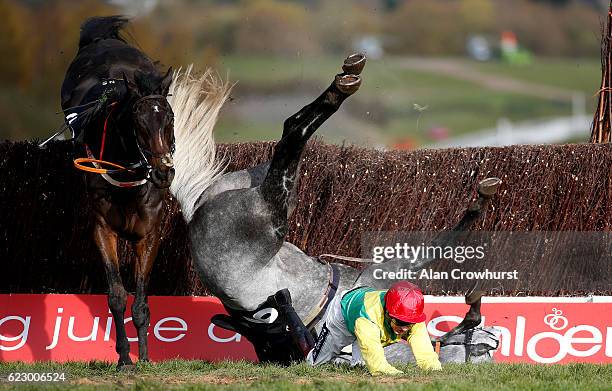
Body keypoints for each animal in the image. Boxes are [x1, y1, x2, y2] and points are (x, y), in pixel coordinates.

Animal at [61, 16, 175, 370]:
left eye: (170, 118)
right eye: (137, 121)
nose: (164, 172)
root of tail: (104, 40)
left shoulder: (149, 233)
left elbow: (140, 301)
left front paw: (147, 356)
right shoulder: (102, 228)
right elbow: (117, 295)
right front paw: (125, 356)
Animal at [169, 52, 502, 364]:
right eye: (482, 355)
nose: (495, 338)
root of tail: (194, 212)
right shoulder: (386, 271)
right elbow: (437, 247)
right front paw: (477, 206)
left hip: (266, 190)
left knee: (289, 133)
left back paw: (344, 80)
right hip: (272, 211)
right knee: (293, 136)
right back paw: (341, 88)